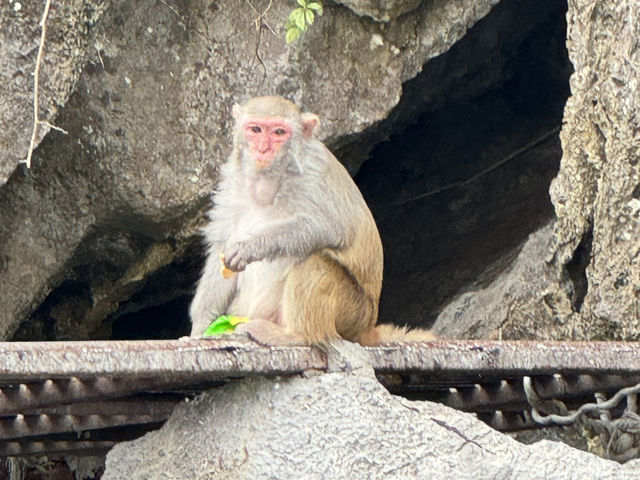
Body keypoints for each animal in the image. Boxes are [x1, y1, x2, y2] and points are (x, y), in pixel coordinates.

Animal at [188, 95, 432, 344]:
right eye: (255, 129)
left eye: (278, 132)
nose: (263, 149)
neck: (269, 183)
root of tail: (366, 329)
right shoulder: (232, 184)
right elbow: (221, 244)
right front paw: (200, 326)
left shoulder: (313, 176)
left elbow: (331, 227)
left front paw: (251, 247)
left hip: (353, 313)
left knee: (314, 260)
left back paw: (295, 335)